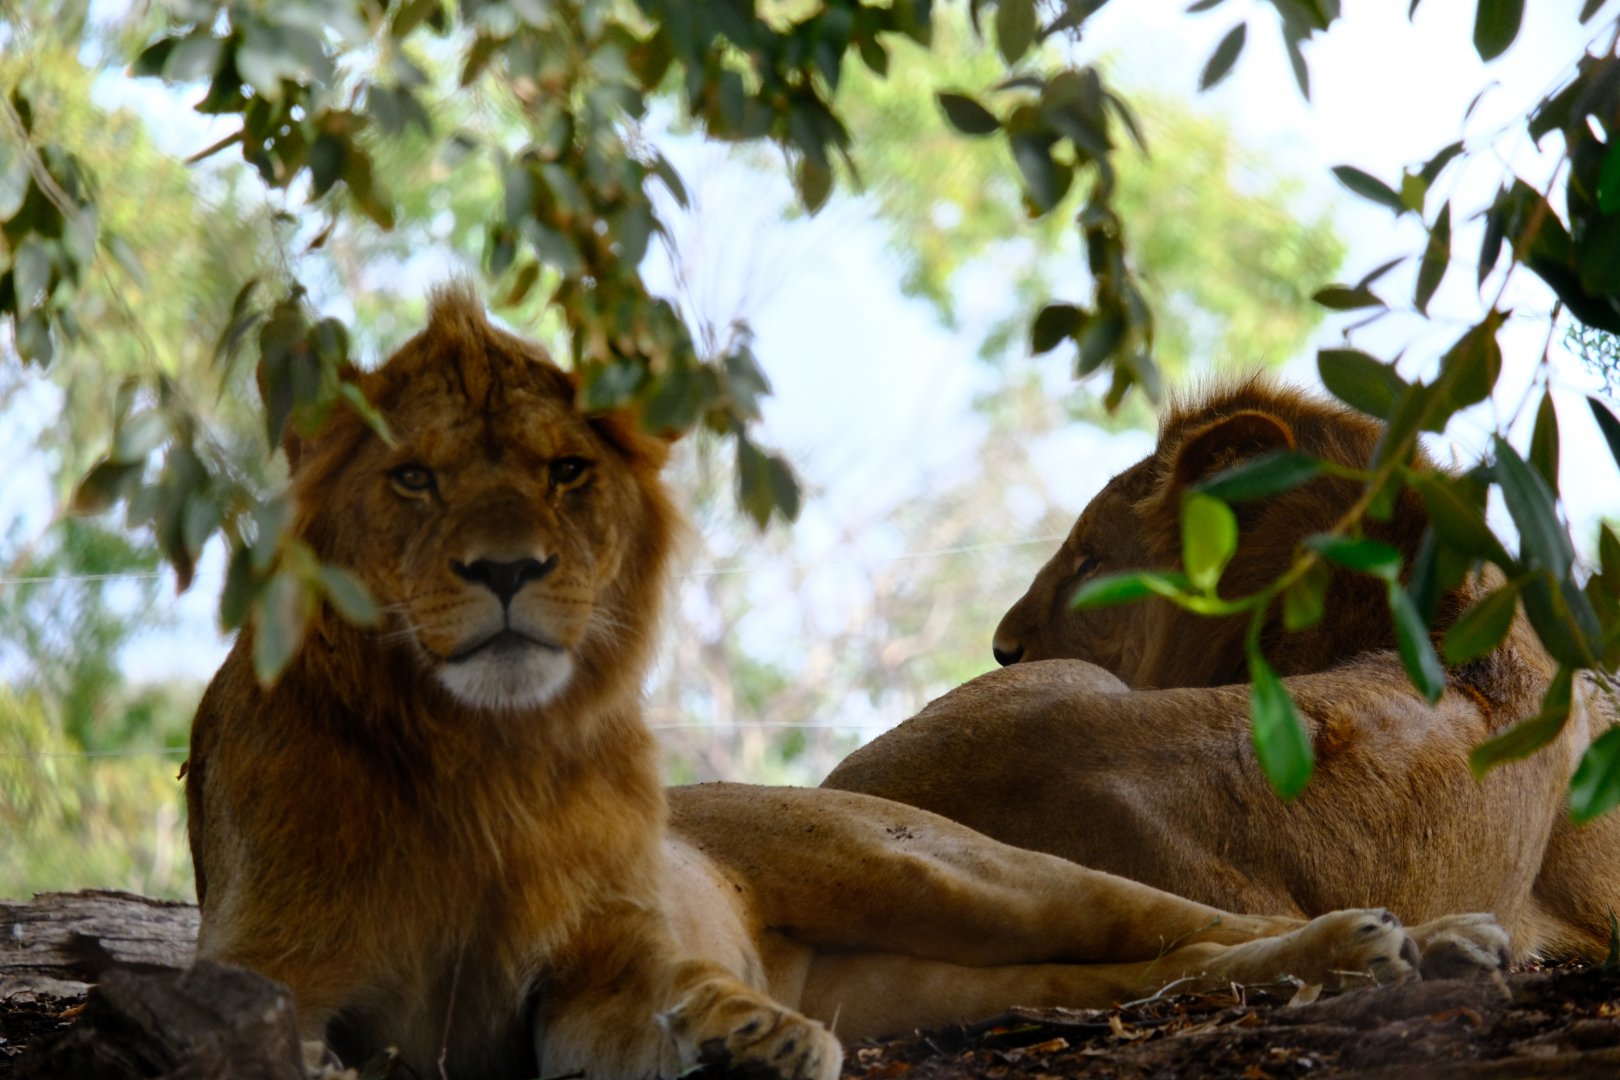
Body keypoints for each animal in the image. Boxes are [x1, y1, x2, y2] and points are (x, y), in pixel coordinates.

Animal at [187, 299, 1508, 1080]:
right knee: (1146, 972)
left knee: (1194, 921)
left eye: (567, 473)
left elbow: (638, 987)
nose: (511, 570)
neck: (467, 761)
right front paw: (732, 1042)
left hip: (945, 869)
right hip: (923, 977)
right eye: (412, 481)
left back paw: (1428, 940)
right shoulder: (282, 976)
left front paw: (743, 1038)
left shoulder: (612, 949)